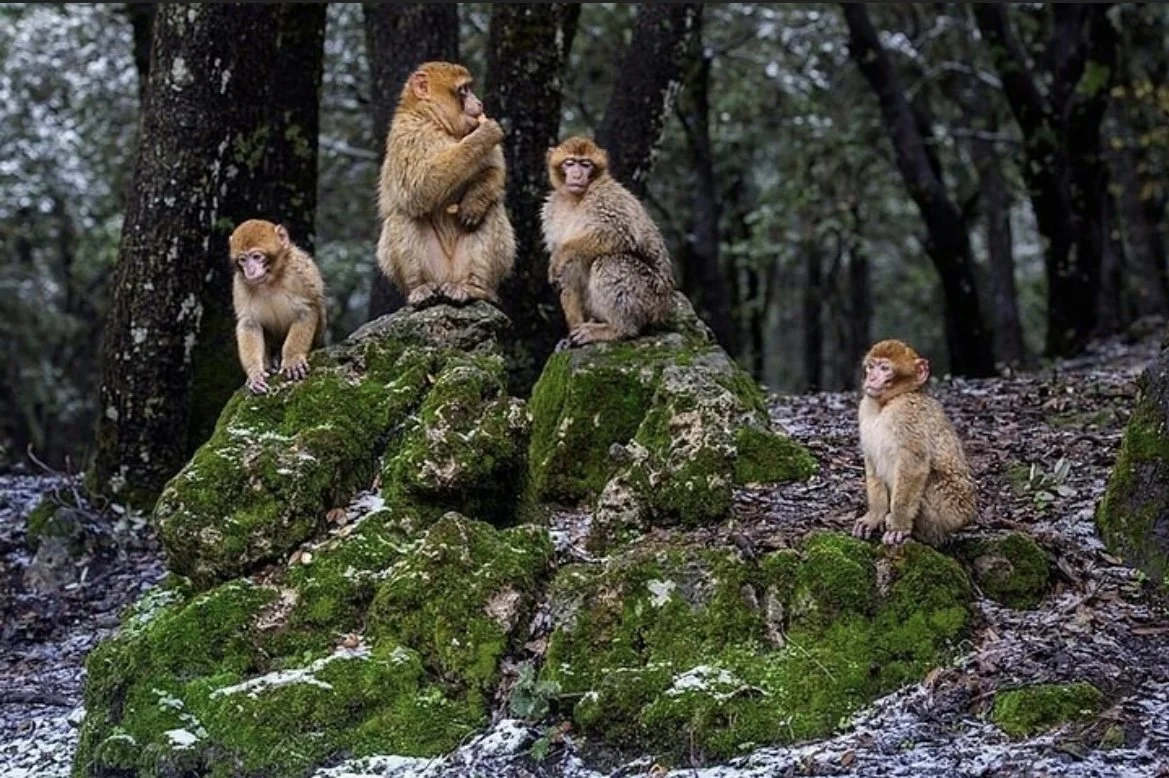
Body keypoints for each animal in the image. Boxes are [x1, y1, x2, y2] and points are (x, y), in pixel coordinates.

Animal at [229, 219, 327, 395]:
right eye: (243, 260)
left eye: (256, 257)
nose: (250, 271)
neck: (270, 280)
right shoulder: (239, 285)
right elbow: (249, 323)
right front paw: (255, 373)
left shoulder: (301, 273)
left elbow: (307, 310)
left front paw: (292, 358)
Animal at [376, 61, 515, 308]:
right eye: (463, 90)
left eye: (469, 88)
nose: (479, 103)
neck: (434, 122)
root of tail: (447, 277)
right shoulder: (406, 134)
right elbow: (417, 188)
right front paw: (483, 135)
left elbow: (494, 172)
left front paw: (473, 202)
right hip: (435, 270)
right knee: (403, 213)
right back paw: (420, 288)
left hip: (464, 269)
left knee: (491, 209)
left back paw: (473, 288)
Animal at [541, 136, 675, 348]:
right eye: (569, 163)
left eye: (585, 164)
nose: (577, 175)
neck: (575, 198)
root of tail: (665, 308)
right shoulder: (551, 211)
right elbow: (568, 271)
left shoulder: (604, 198)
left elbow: (618, 234)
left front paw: (561, 255)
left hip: (651, 299)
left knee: (610, 262)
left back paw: (618, 329)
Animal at [852, 339, 976, 547]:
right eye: (871, 366)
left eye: (885, 368)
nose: (872, 378)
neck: (888, 402)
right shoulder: (865, 407)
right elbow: (872, 459)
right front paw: (874, 516)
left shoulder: (907, 414)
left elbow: (913, 464)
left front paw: (899, 525)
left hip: (951, 509)